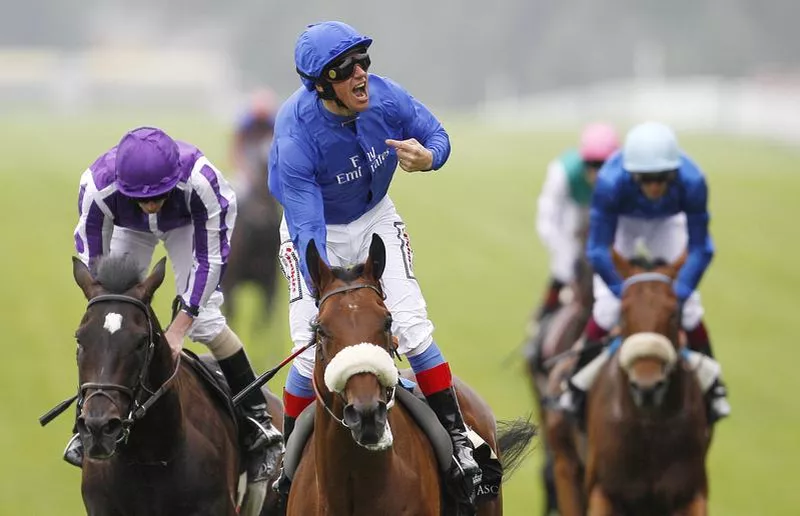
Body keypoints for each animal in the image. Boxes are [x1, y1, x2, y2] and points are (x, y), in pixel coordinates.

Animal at [548, 254, 708, 516]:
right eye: (623, 312)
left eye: (673, 314)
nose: (647, 386)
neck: (651, 425)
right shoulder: (604, 491)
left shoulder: (690, 493)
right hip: (565, 465)